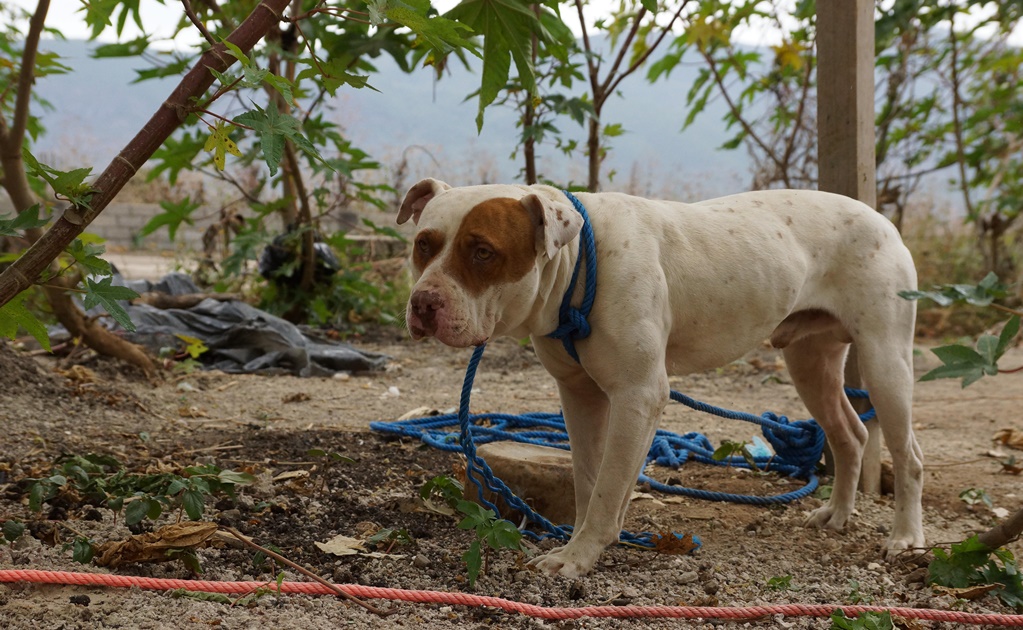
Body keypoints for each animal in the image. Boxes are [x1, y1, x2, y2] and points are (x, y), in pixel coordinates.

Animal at [396, 177, 928, 580]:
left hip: (885, 359)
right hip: (810, 362)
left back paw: (905, 537)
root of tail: (881, 218)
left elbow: (609, 485)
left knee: (909, 454)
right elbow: (592, 479)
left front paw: (576, 558)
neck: (577, 266)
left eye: (483, 252)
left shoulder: (638, 394)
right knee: (850, 434)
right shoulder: (581, 395)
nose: (423, 303)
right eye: (424, 245)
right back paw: (837, 514)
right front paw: (586, 540)